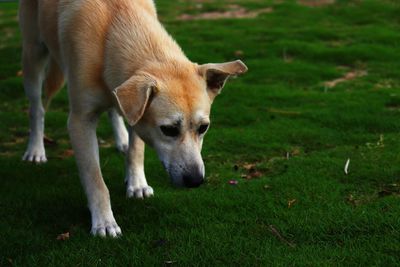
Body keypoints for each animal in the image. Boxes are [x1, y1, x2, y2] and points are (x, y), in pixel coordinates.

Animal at [20, 0, 248, 239]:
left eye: (203, 128)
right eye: (168, 130)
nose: (195, 181)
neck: (115, 26)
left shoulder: (136, 113)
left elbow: (136, 150)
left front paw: (137, 184)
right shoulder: (80, 121)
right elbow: (95, 179)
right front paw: (104, 221)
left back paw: (121, 139)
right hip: (33, 54)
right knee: (37, 109)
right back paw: (35, 150)